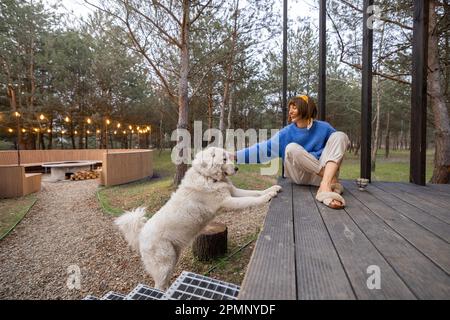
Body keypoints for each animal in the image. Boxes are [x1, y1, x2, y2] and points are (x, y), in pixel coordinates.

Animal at [115, 148, 282, 290]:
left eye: (229, 157)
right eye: (224, 159)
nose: (236, 168)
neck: (207, 177)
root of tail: (141, 233)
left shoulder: (234, 192)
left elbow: (254, 192)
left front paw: (272, 189)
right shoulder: (228, 201)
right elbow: (251, 200)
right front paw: (268, 197)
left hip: (173, 258)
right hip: (164, 265)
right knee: (158, 286)